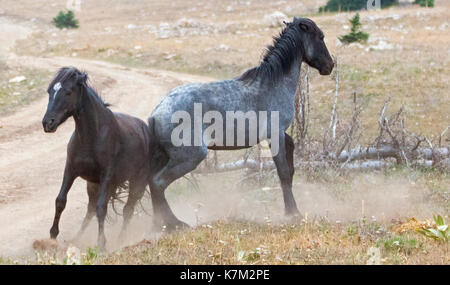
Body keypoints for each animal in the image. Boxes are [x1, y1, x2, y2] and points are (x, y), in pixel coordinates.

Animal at [42, 67, 151, 248]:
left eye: (68, 92)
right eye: (50, 91)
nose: (47, 123)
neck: (92, 136)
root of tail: (145, 130)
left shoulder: (106, 175)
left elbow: (102, 208)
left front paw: (101, 244)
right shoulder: (70, 171)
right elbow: (61, 201)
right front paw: (52, 237)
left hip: (137, 183)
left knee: (127, 209)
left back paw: (121, 239)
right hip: (94, 185)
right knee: (91, 210)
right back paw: (76, 239)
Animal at [148, 17, 334, 229]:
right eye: (320, 37)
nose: (330, 65)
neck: (274, 83)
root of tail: (156, 113)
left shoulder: (280, 135)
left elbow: (291, 154)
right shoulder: (274, 136)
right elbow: (284, 173)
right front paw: (292, 213)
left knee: (152, 184)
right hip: (191, 158)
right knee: (158, 183)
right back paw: (174, 224)